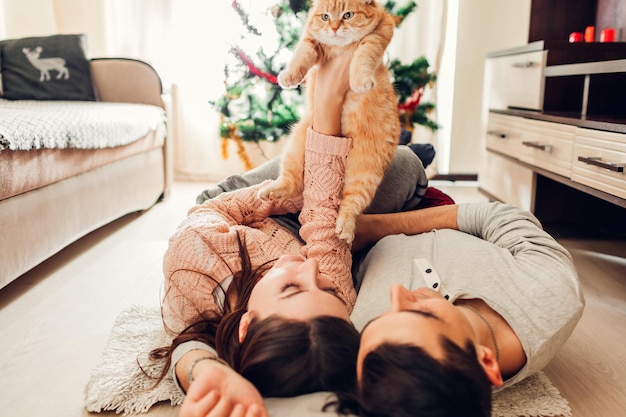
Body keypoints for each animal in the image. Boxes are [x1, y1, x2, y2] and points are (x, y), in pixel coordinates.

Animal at [256, 0, 398, 244]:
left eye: (348, 15)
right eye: (324, 17)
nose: (333, 28)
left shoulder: (379, 33)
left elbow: (364, 55)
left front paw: (360, 80)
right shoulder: (311, 41)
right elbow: (301, 55)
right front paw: (289, 76)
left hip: (366, 173)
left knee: (350, 204)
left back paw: (345, 229)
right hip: (296, 145)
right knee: (293, 183)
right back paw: (270, 190)